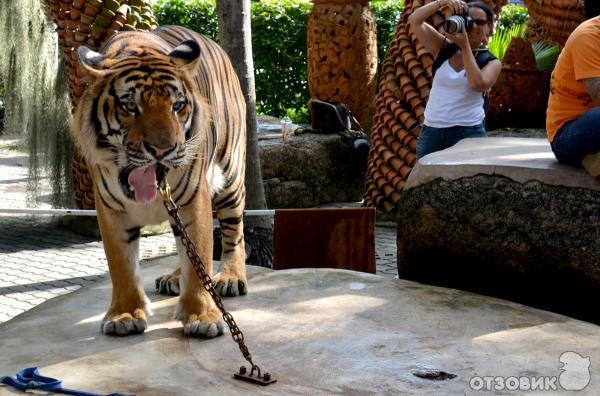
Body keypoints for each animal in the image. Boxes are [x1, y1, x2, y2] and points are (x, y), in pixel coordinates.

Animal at [72, 26, 246, 338]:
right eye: (130, 106)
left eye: (177, 106)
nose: (163, 150)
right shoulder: (110, 209)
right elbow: (122, 265)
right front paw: (124, 314)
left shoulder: (193, 200)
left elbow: (200, 254)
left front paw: (202, 316)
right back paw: (175, 277)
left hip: (231, 178)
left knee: (234, 233)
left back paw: (230, 277)